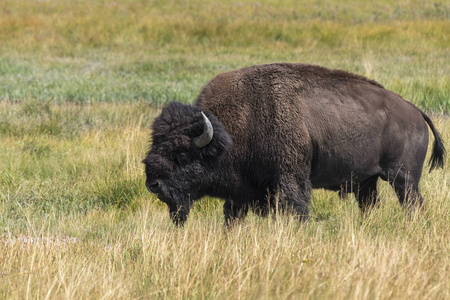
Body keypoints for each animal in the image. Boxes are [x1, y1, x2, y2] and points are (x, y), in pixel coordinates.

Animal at [142, 63, 444, 227]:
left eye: (182, 154)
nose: (153, 184)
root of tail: (416, 111)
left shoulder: (290, 178)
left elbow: (297, 208)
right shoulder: (241, 192)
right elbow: (232, 215)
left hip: (403, 179)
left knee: (413, 204)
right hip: (366, 183)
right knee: (370, 205)